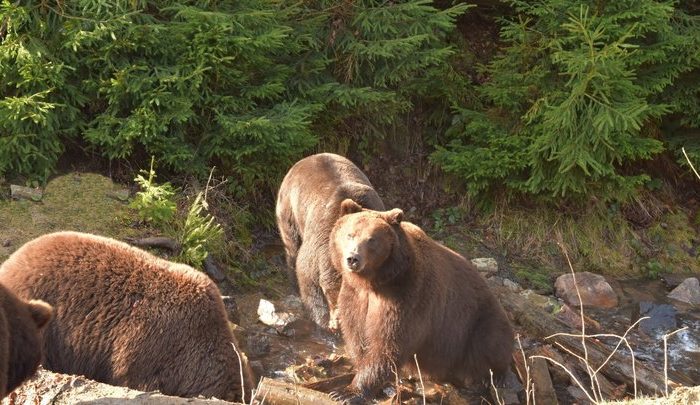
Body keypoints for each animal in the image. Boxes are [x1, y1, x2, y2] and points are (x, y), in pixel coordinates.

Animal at [274, 152, 382, 328]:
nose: (338, 322)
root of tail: (308, 157)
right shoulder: (320, 242)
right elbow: (307, 275)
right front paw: (323, 320)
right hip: (290, 207)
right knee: (292, 246)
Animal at [328, 197, 516, 400]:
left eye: (372, 240)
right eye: (350, 234)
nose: (353, 258)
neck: (374, 282)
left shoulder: (407, 298)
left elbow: (388, 344)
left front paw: (346, 392)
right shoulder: (355, 296)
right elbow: (356, 334)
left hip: (478, 320)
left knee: (492, 342)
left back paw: (496, 376)